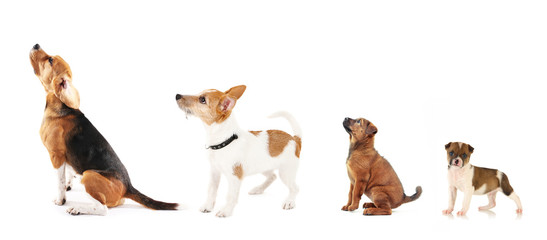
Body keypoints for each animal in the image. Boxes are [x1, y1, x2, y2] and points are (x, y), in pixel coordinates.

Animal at [177, 86, 302, 218]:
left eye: (202, 100)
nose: (177, 95)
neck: (224, 140)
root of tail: (294, 138)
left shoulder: (234, 177)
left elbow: (230, 196)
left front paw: (226, 210)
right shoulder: (214, 172)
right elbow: (211, 191)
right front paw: (208, 206)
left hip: (286, 172)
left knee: (295, 188)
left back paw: (289, 202)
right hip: (263, 167)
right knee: (272, 176)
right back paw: (258, 189)